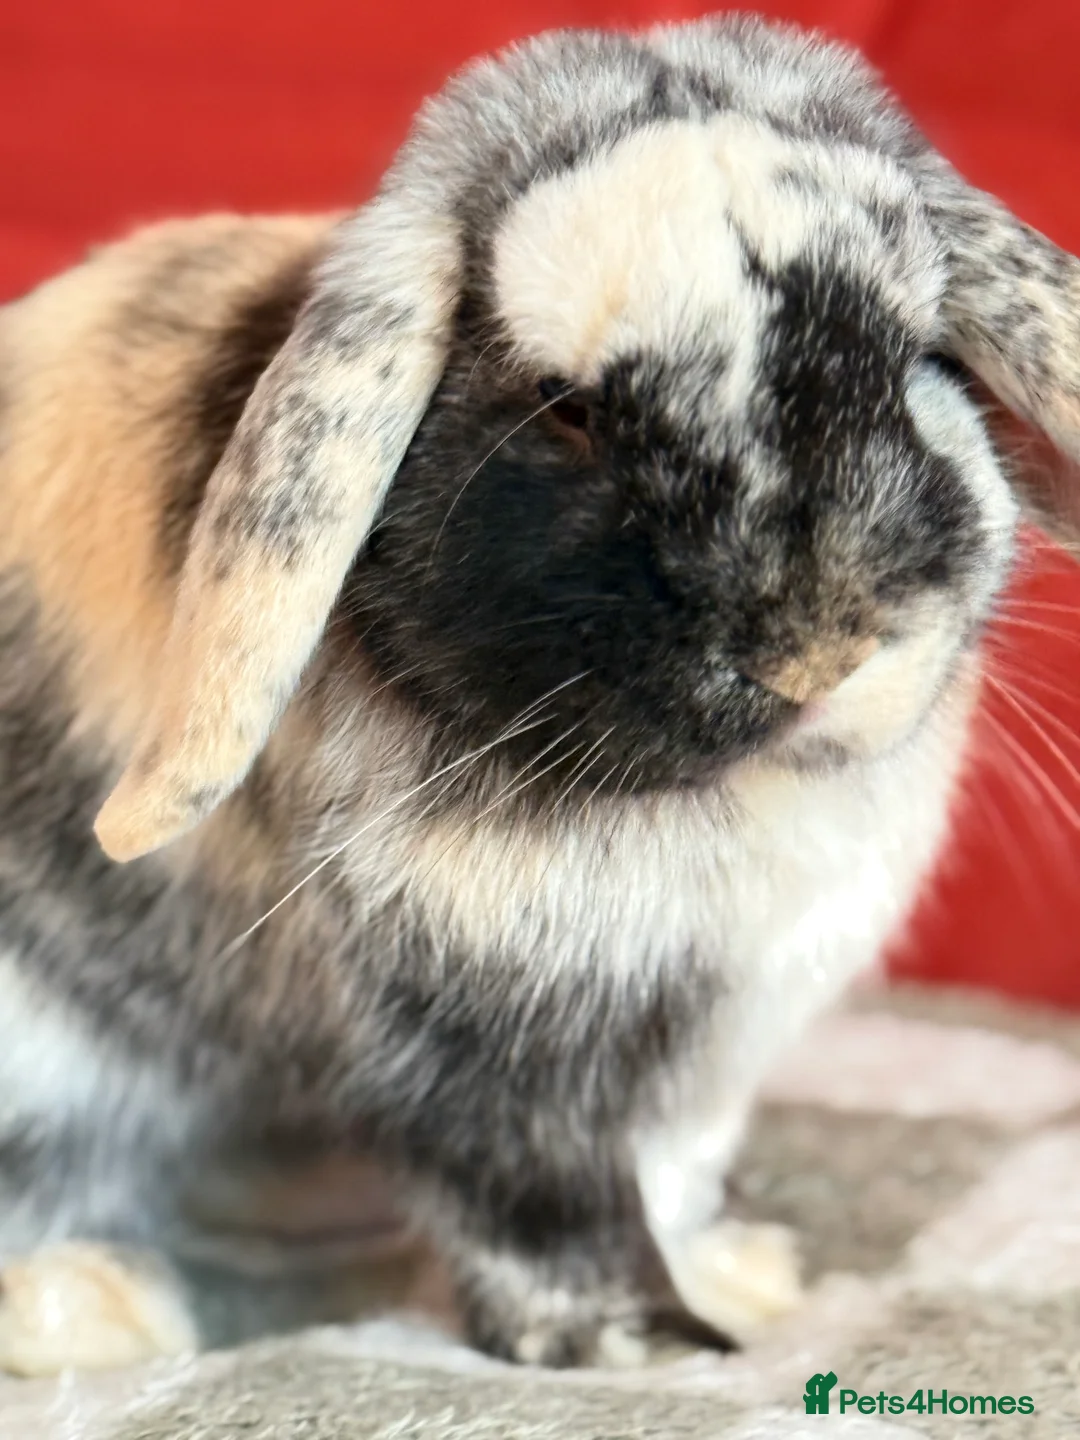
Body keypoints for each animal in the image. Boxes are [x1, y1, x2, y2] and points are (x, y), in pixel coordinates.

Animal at [2, 10, 1079, 1374]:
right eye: (566, 413)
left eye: (911, 362)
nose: (821, 653)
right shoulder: (478, 1051)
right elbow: (535, 1207)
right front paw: (631, 1346)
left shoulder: (707, 1055)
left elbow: (670, 1176)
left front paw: (742, 1288)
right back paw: (94, 1312)